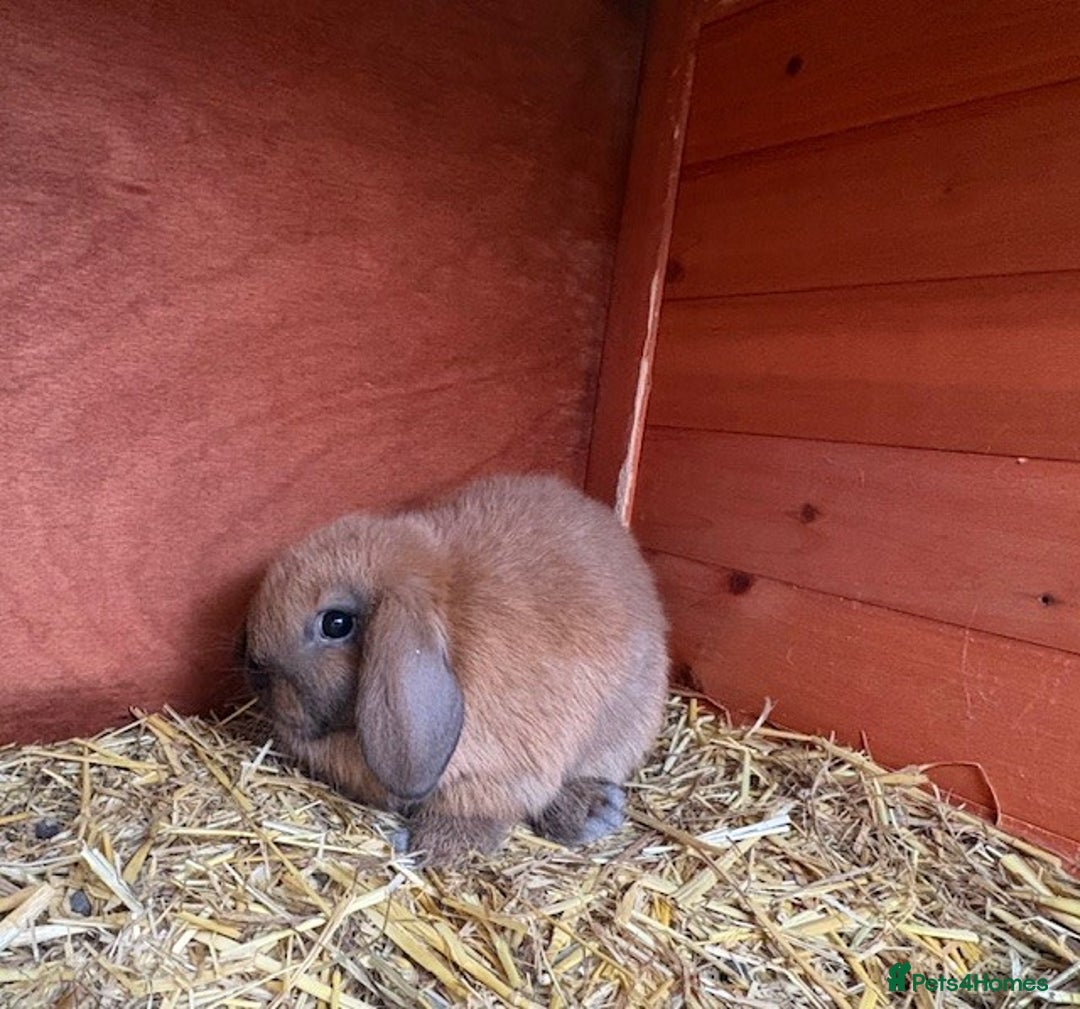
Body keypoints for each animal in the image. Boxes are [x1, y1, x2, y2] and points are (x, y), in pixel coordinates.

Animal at [241, 472, 669, 866]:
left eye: (336, 624)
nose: (251, 666)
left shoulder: (498, 775)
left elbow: (470, 815)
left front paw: (417, 847)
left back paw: (594, 811)